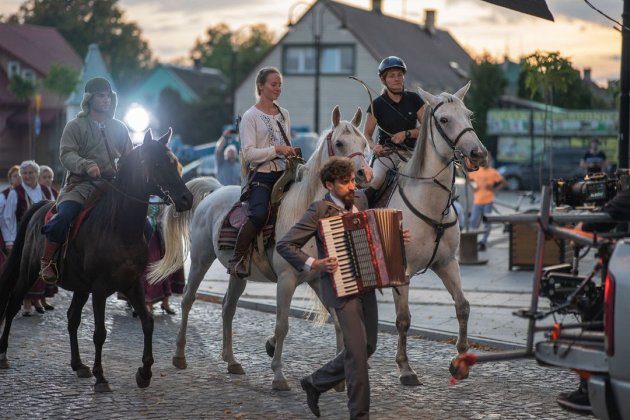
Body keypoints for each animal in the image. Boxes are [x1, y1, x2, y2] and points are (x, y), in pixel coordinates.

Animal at [0, 130, 193, 392]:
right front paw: (101, 377)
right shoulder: (100, 289)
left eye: (174, 163)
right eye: (156, 164)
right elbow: (100, 332)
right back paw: (3, 354)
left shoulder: (132, 284)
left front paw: (144, 372)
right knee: (12, 306)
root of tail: (41, 207)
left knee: (72, 318)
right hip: (29, 272)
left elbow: (148, 322)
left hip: (81, 287)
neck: (119, 227)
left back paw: (78, 365)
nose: (186, 198)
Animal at [150, 106, 372, 390]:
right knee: (188, 299)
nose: (364, 175)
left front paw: (339, 379)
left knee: (228, 307)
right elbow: (282, 325)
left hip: (238, 273)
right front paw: (278, 375)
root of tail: (216, 190)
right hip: (201, 259)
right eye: (341, 143)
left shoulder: (318, 279)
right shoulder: (286, 280)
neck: (304, 212)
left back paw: (231, 360)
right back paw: (179, 355)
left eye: (364, 143)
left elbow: (338, 323)